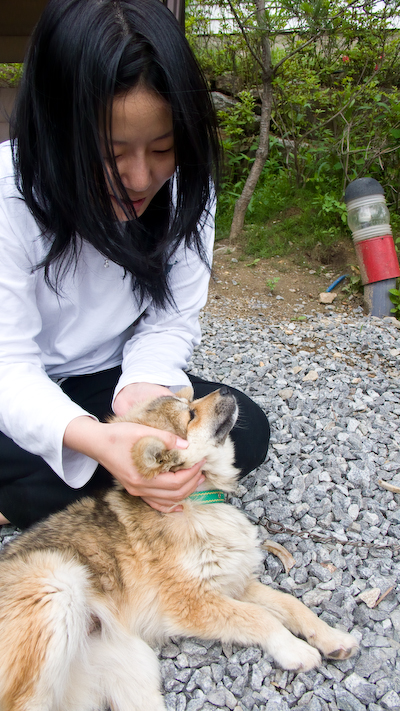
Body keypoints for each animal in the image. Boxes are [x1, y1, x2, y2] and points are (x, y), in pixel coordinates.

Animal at [0, 390, 358, 711]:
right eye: (191, 415)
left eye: (190, 401)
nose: (224, 391)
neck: (196, 503)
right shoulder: (190, 603)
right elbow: (260, 617)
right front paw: (294, 649)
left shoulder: (232, 582)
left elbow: (290, 604)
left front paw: (331, 637)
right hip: (57, 587)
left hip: (131, 665)